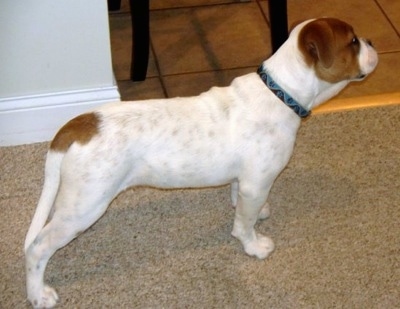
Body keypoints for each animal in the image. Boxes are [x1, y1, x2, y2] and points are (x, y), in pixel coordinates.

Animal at [25, 18, 378, 306]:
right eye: (353, 41)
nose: (372, 41)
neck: (280, 93)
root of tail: (78, 124)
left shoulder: (245, 182)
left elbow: (240, 202)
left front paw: (257, 213)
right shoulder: (256, 184)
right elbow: (243, 224)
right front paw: (253, 246)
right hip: (84, 206)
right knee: (37, 249)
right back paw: (38, 294)